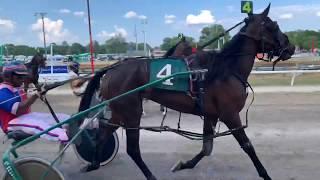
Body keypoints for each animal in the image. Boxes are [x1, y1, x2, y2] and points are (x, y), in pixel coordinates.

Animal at [79, 4, 294, 180]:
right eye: (273, 25)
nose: (290, 47)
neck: (226, 70)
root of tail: (112, 69)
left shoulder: (211, 114)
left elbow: (207, 148)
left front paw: (183, 164)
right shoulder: (230, 115)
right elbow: (247, 146)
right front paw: (265, 175)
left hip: (119, 109)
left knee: (104, 131)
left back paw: (93, 163)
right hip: (131, 111)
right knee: (133, 149)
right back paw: (149, 175)